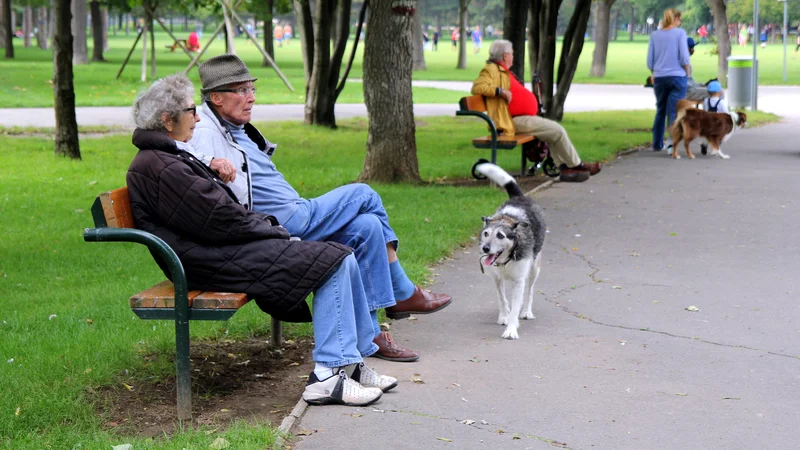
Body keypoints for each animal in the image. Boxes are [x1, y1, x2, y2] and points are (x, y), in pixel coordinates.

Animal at [478, 161, 548, 338]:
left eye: (500, 235)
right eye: (486, 233)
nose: (485, 248)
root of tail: (519, 197)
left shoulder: (519, 281)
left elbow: (517, 304)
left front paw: (511, 329)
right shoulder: (496, 278)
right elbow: (502, 299)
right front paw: (504, 316)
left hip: (534, 269)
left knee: (529, 291)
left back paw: (526, 312)